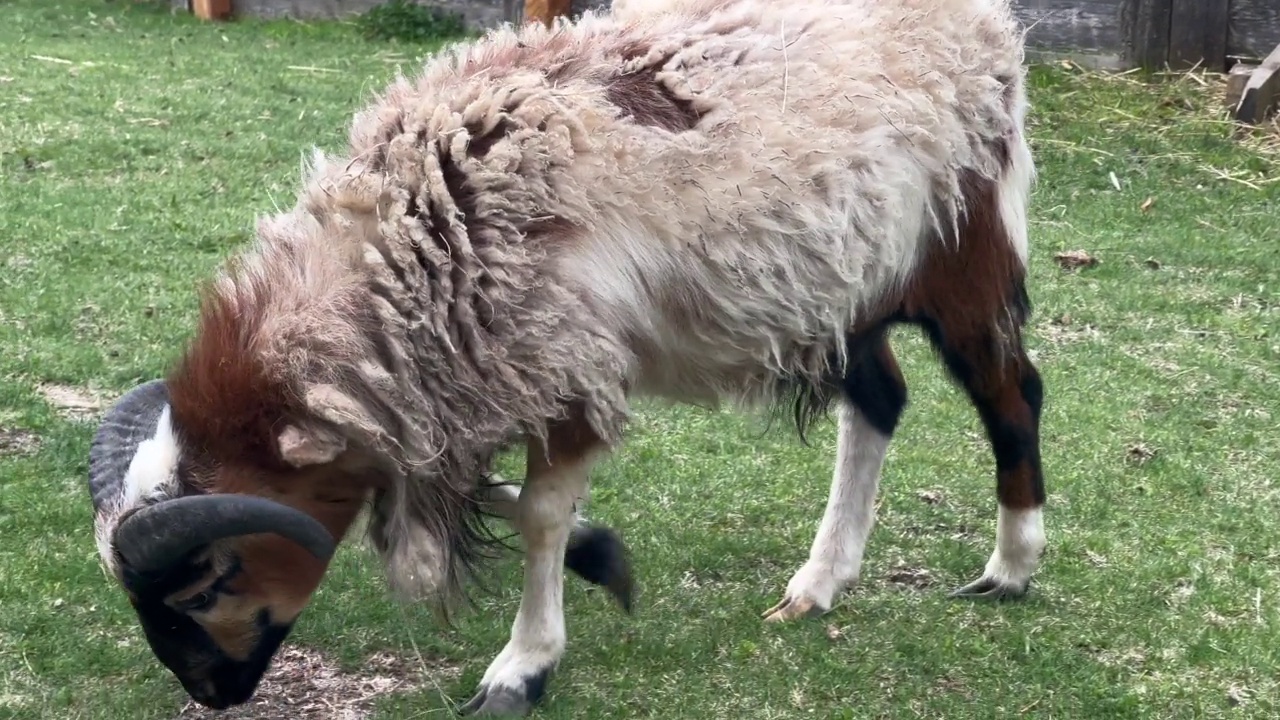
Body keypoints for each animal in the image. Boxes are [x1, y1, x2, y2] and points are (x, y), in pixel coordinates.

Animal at [85, 1, 1044, 712]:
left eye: (206, 582)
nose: (208, 692)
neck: (417, 239)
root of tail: (988, 26)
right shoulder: (473, 389)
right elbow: (491, 494)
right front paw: (602, 555)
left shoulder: (567, 365)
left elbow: (540, 514)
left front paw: (524, 666)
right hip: (841, 287)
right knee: (880, 401)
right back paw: (819, 583)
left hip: (962, 249)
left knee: (1011, 392)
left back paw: (1010, 568)